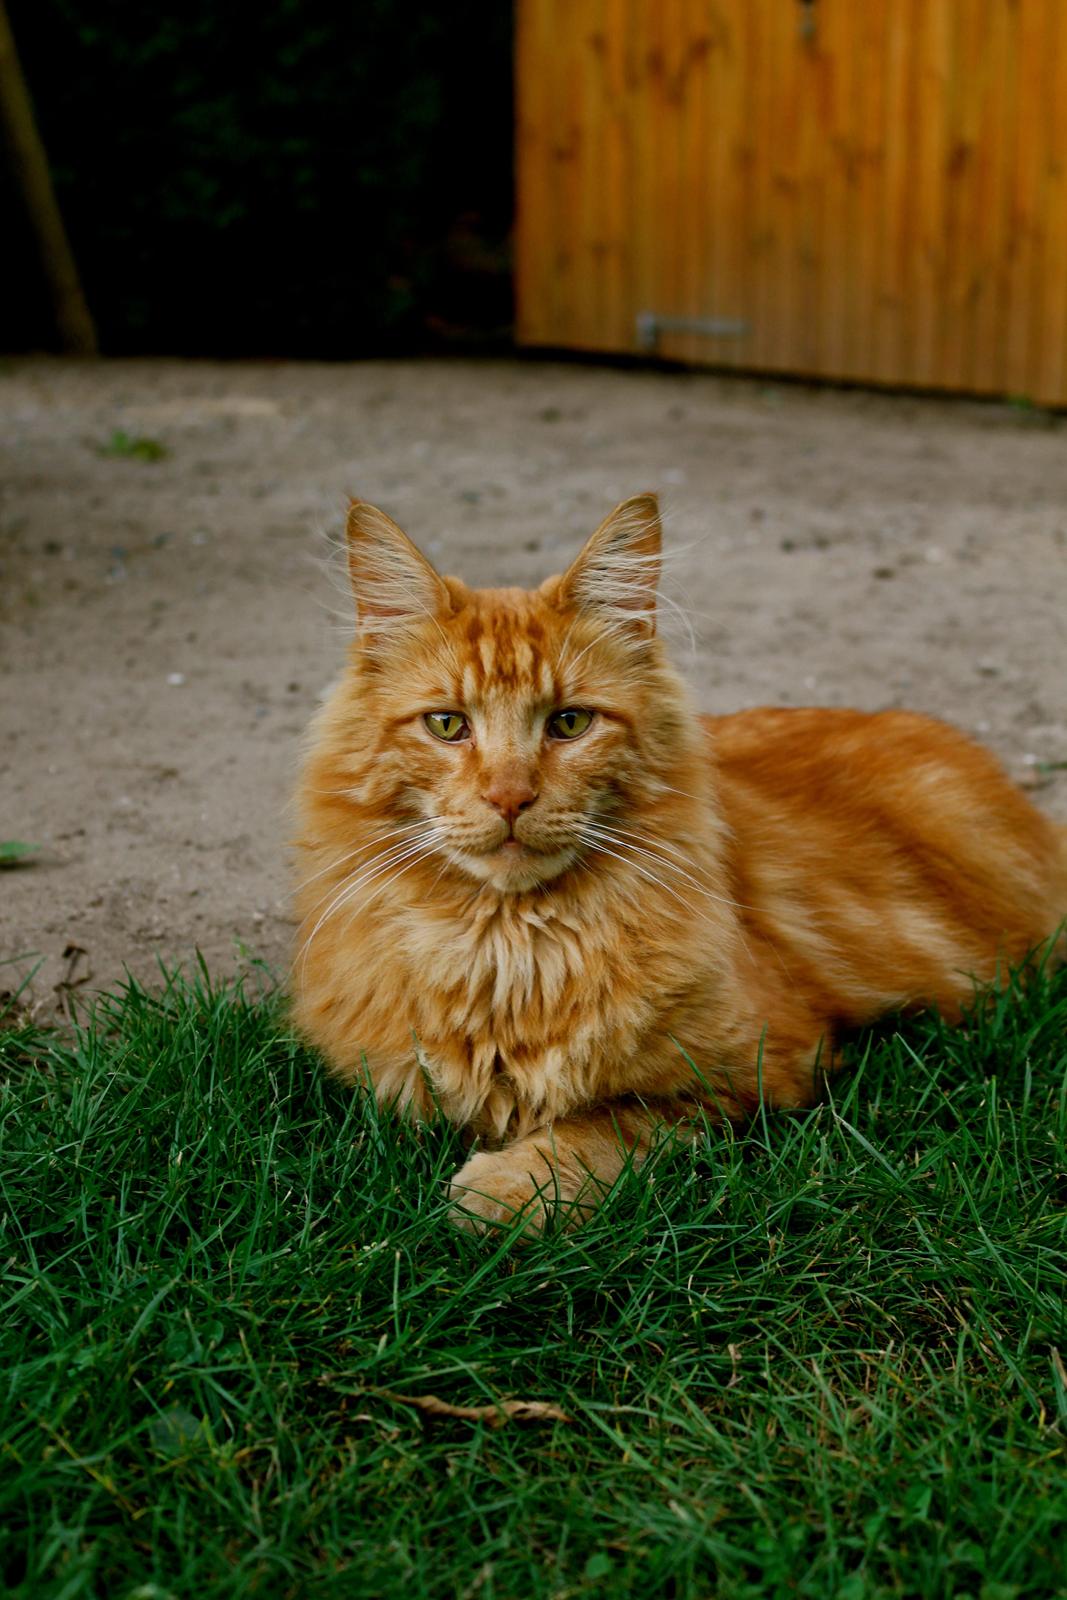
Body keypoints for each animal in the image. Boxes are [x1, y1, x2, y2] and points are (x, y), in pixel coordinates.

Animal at [292, 492, 1067, 1228]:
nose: (509, 797)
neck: (510, 953)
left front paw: (503, 1192)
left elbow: (598, 1126)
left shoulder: (750, 1074)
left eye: (569, 722)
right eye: (447, 724)